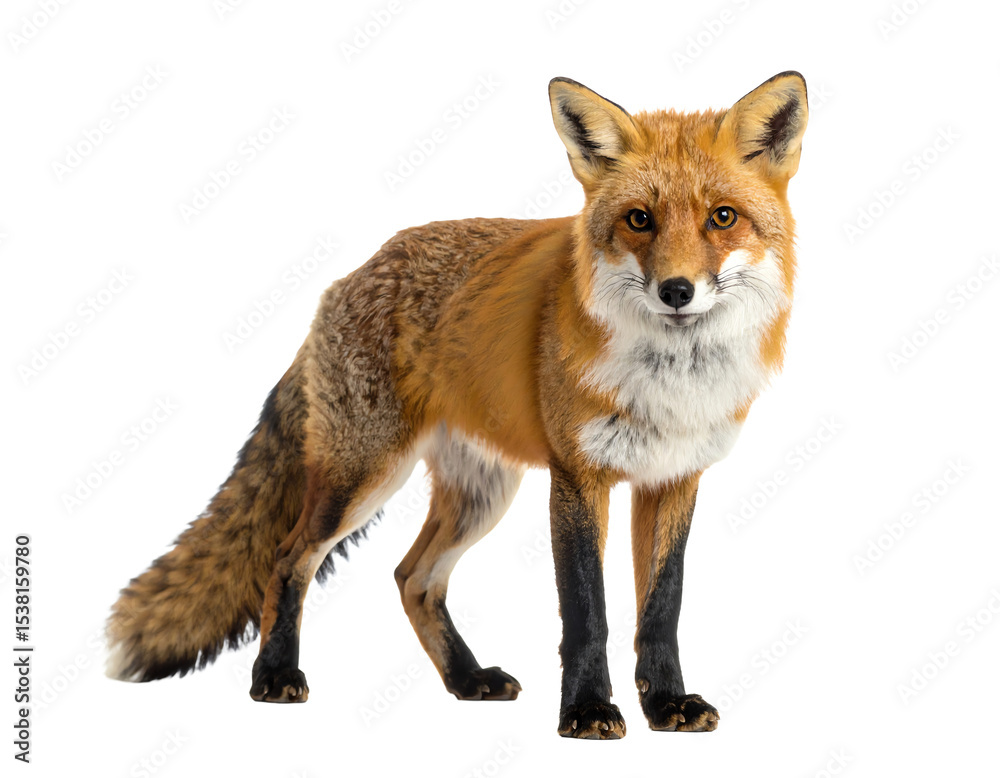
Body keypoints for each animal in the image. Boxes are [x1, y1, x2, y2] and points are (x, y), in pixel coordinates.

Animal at [106, 71, 808, 739]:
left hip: (481, 495)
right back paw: (275, 675)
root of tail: (350, 276)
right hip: (363, 477)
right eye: (640, 219)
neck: (671, 385)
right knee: (289, 557)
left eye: (722, 217)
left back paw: (466, 680)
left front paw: (666, 705)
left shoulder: (674, 478)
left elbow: (661, 610)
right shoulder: (577, 477)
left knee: (413, 578)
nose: (677, 291)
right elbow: (588, 614)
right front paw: (585, 712)